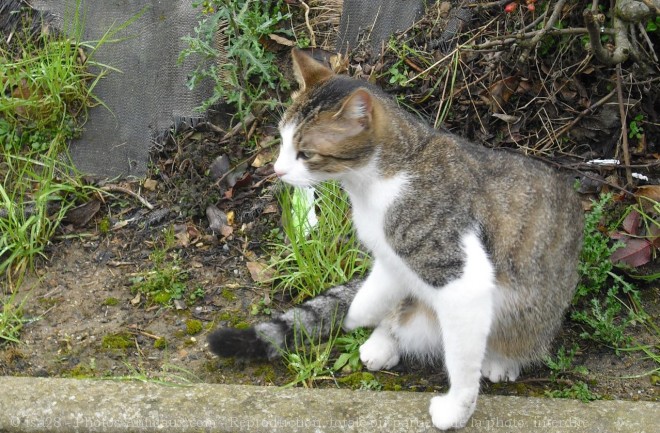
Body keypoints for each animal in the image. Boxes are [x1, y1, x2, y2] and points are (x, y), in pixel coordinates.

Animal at [208, 48, 584, 428]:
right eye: (283, 141)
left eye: (306, 153)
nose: (277, 170)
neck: (382, 177)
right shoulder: (390, 258)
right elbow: (372, 293)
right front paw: (357, 316)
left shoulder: (460, 279)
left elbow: (462, 363)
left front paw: (457, 409)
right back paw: (381, 341)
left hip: (530, 310)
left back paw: (503, 360)